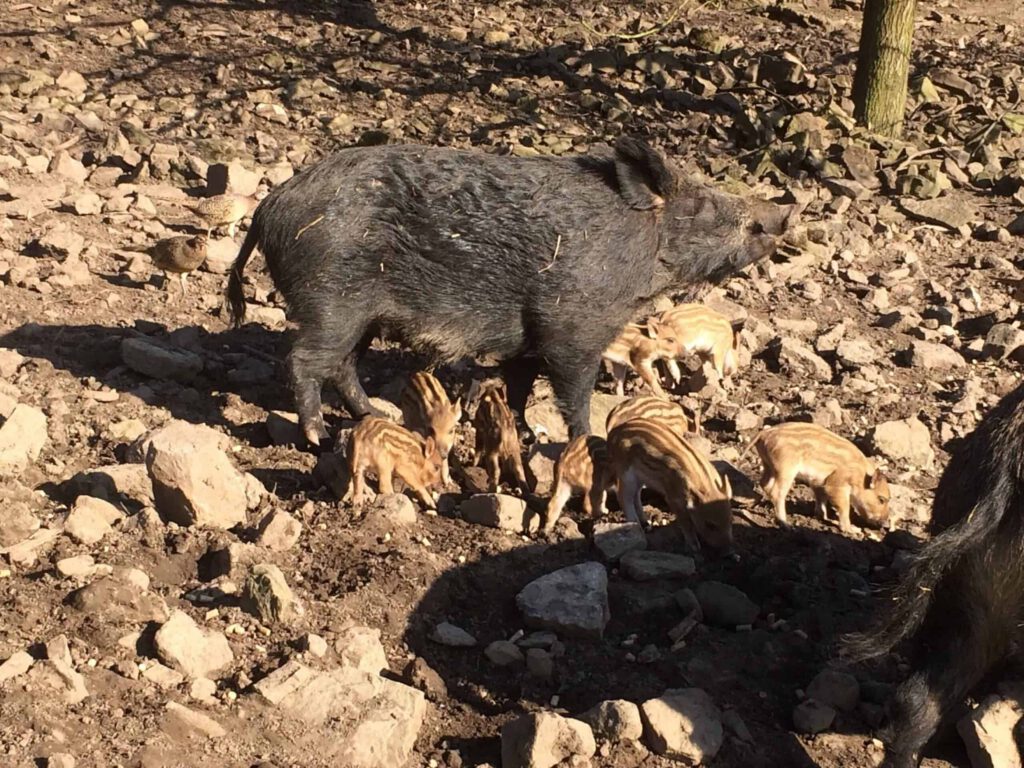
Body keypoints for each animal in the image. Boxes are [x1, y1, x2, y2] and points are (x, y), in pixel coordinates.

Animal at [226, 137, 793, 448]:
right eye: (702, 206)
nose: (781, 214)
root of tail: (270, 205)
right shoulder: (570, 325)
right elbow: (574, 391)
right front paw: (587, 440)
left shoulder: (530, 340)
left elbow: (520, 386)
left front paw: (522, 432)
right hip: (331, 299)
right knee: (304, 361)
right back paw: (318, 437)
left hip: (360, 315)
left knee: (342, 365)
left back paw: (377, 417)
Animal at [606, 417, 733, 552]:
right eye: (710, 524)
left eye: (730, 519)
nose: (728, 549)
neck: (705, 486)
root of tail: (613, 433)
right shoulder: (673, 498)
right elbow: (686, 523)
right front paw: (694, 546)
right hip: (626, 473)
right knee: (624, 497)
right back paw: (637, 526)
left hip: (640, 477)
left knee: (636, 495)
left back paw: (646, 524)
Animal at [743, 422, 890, 534]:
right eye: (881, 499)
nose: (885, 524)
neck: (861, 476)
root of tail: (764, 433)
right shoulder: (836, 484)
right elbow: (844, 507)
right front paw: (852, 530)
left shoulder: (819, 483)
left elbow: (821, 501)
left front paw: (826, 519)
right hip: (786, 470)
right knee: (776, 492)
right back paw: (787, 525)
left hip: (768, 465)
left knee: (764, 484)